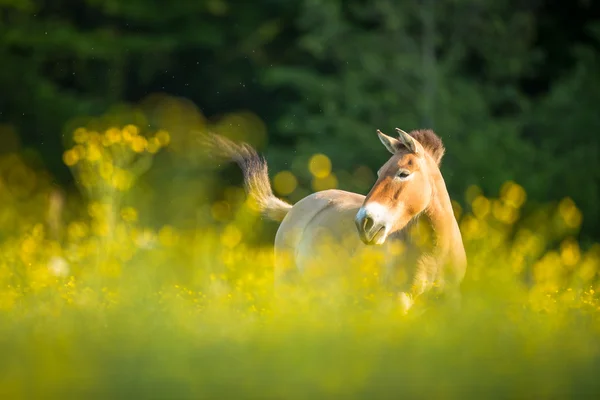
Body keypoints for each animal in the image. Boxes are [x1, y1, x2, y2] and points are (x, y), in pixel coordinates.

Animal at [206, 128, 468, 312]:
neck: (434, 252)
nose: (364, 223)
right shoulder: (398, 302)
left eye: (403, 173)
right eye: (379, 172)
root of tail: (293, 209)